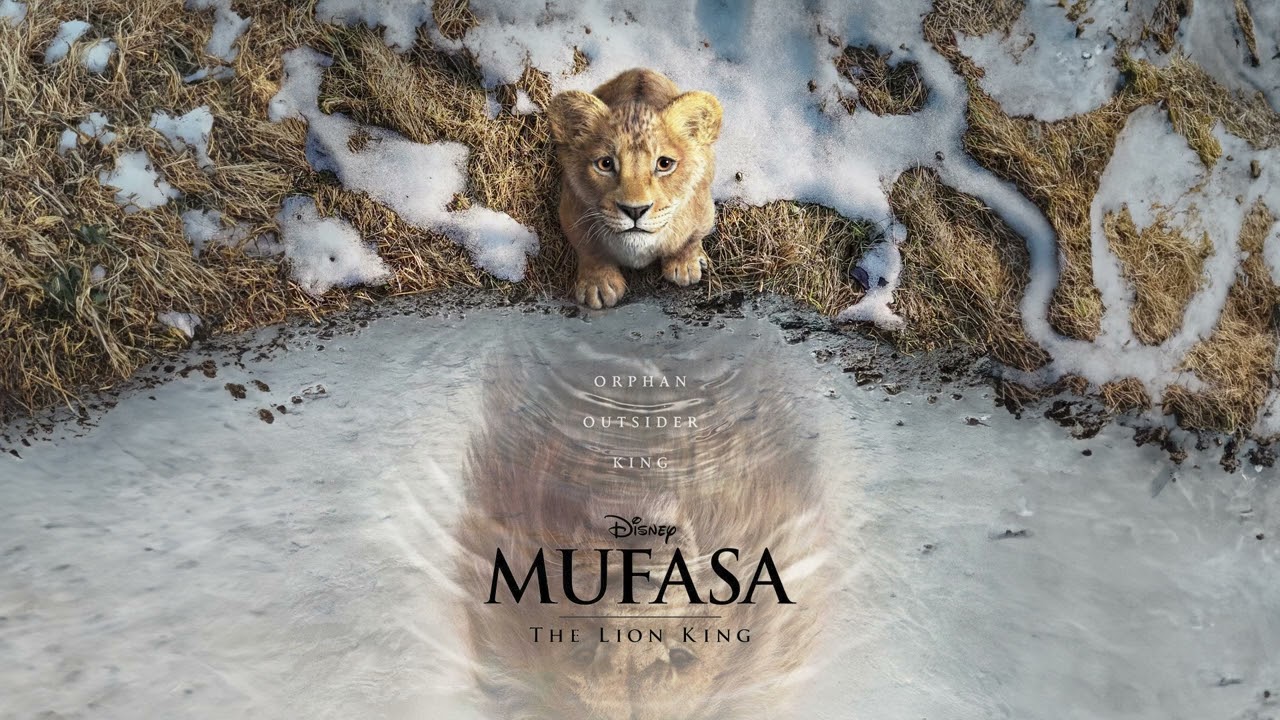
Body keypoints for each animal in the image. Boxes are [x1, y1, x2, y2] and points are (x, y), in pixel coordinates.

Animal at [548, 68, 724, 309]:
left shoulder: (704, 209)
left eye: (664, 164)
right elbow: (589, 248)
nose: (635, 210)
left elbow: (690, 239)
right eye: (605, 164)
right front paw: (598, 284)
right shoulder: (571, 210)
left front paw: (685, 265)